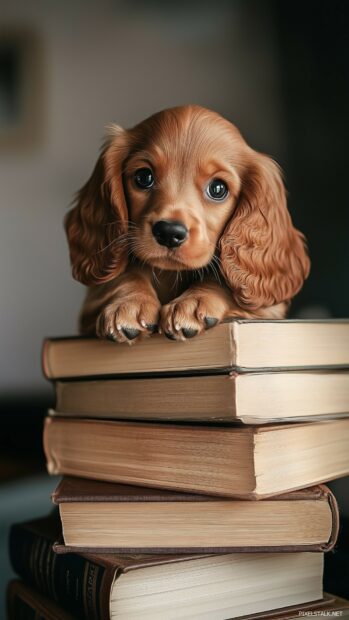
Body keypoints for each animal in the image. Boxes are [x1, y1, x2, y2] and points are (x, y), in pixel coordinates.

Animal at [65, 103, 310, 342]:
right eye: (143, 177)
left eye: (218, 189)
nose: (169, 232)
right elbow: (124, 275)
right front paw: (129, 302)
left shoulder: (268, 309)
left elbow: (223, 281)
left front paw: (194, 301)